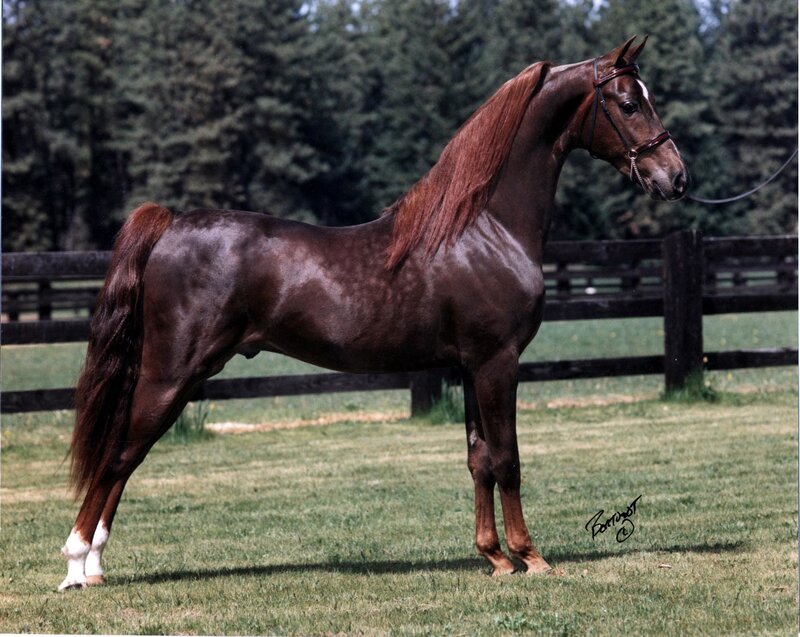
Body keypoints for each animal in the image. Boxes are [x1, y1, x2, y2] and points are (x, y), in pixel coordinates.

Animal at [59, 36, 687, 590]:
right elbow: (508, 459)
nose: (676, 177)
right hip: (171, 375)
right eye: (629, 103)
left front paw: (493, 558)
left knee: (123, 457)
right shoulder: (497, 362)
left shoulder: (468, 366)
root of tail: (169, 225)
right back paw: (76, 566)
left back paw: (94, 567)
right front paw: (530, 558)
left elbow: (479, 460)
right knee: (120, 454)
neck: (486, 227)